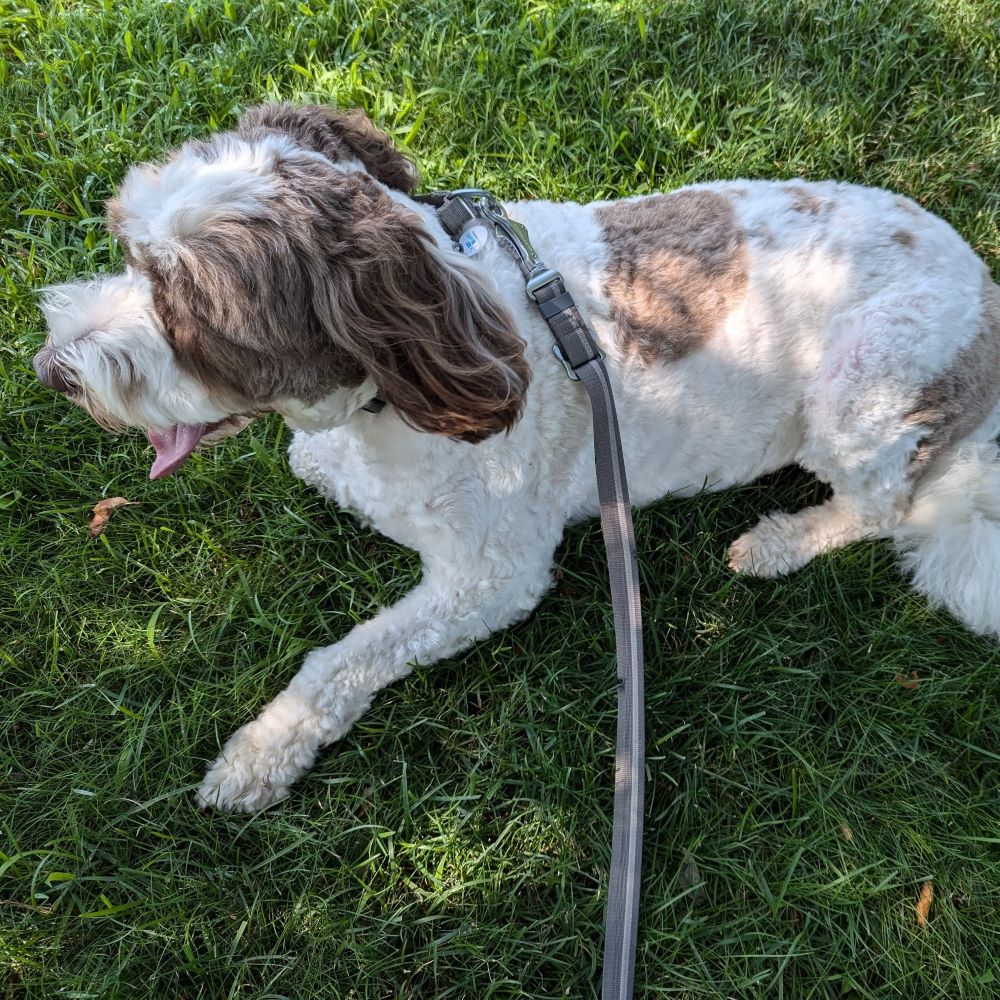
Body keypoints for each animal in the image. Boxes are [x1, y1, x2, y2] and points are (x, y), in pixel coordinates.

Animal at [31, 103, 1000, 812]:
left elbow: (344, 658)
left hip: (864, 384)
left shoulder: (493, 575)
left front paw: (261, 753)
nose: (53, 372)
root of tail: (985, 305)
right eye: (127, 251)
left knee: (883, 506)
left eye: (190, 314)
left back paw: (780, 542)